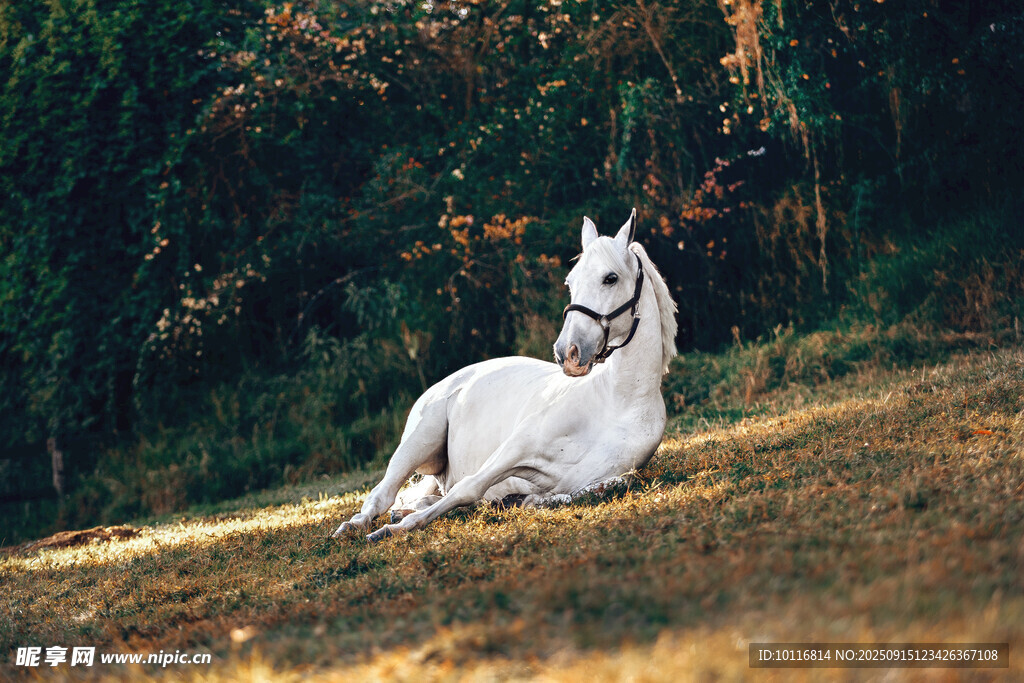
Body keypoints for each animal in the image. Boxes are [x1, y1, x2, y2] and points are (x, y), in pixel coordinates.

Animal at [332, 209, 678, 542]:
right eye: (571, 281)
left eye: (610, 278)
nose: (567, 352)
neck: (617, 402)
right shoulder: (516, 448)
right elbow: (468, 487)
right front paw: (395, 530)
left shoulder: (599, 478)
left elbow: (590, 489)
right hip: (417, 443)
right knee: (382, 494)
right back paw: (355, 526)